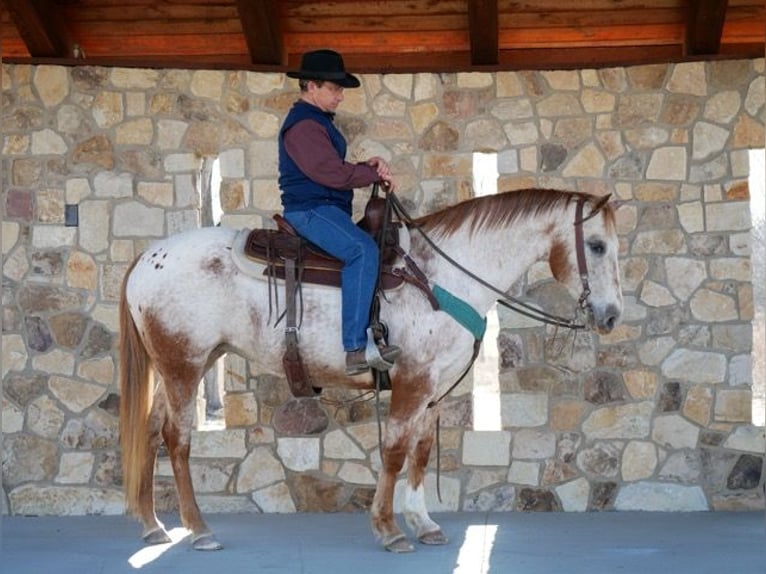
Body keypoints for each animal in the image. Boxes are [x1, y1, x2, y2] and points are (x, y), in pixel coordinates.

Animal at [120, 189, 624, 552]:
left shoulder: (433, 390)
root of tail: (147, 258)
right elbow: (396, 452)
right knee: (177, 439)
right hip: (183, 365)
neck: (443, 277)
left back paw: (152, 526)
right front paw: (389, 528)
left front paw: (424, 523)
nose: (612, 316)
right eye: (597, 245)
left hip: (180, 365)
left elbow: (420, 453)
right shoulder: (412, 381)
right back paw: (199, 529)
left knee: (151, 430)